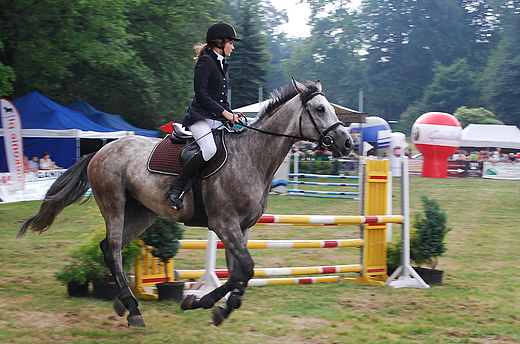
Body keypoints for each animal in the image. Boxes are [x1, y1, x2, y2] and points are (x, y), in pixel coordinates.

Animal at [18, 78, 356, 328]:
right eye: (319, 109)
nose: (348, 143)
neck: (252, 156)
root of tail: (100, 150)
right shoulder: (224, 224)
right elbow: (245, 268)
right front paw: (201, 301)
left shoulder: (242, 228)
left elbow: (238, 273)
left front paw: (217, 307)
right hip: (113, 204)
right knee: (113, 250)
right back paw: (134, 310)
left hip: (141, 213)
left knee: (108, 249)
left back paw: (123, 302)